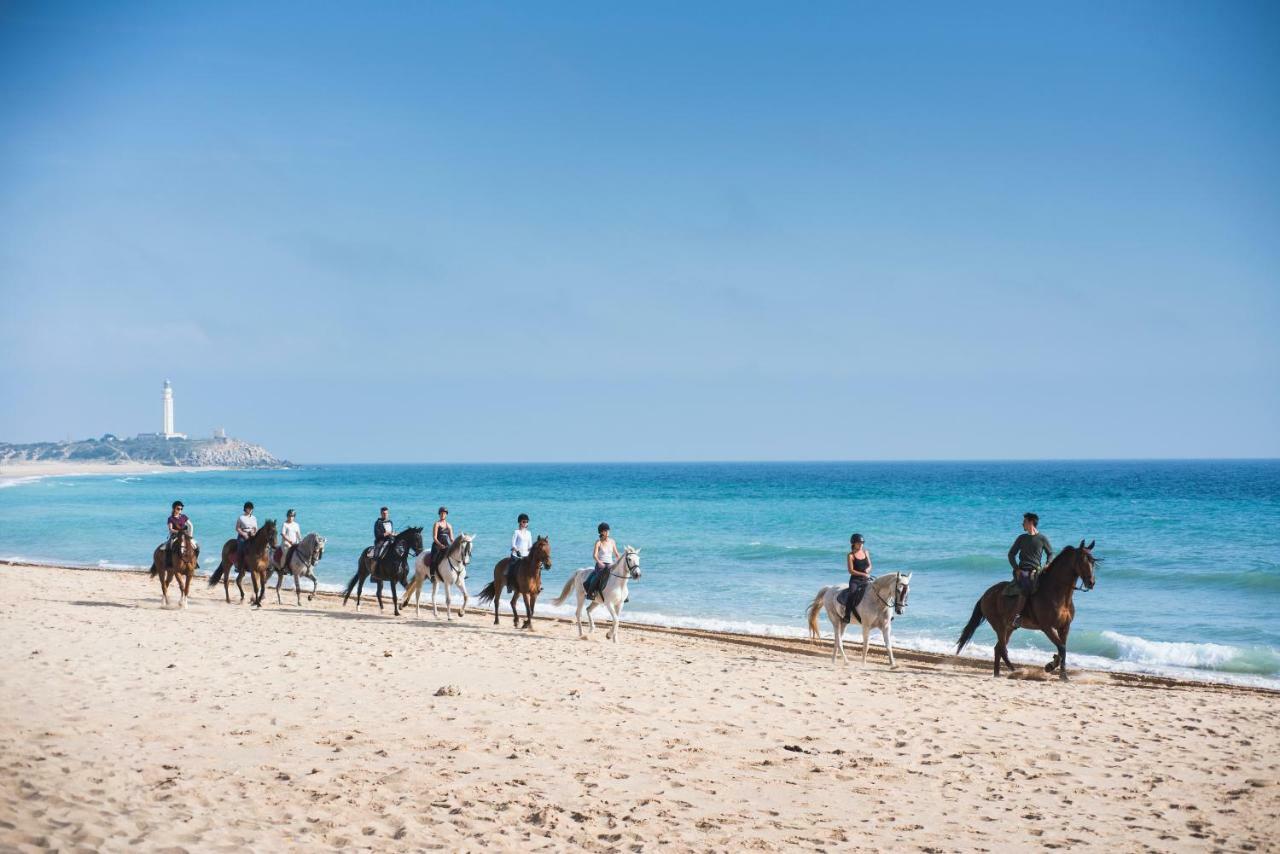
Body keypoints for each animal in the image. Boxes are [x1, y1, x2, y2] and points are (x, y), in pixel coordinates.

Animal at [957, 540, 1095, 681]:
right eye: (1082, 560)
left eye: (1093, 562)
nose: (1091, 582)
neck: (1057, 594)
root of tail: (985, 595)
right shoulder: (1047, 627)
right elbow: (1061, 648)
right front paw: (1052, 668)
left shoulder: (1064, 627)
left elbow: (1063, 649)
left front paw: (1061, 673)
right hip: (999, 626)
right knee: (1002, 649)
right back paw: (1016, 671)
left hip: (1009, 628)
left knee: (998, 649)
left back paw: (997, 674)